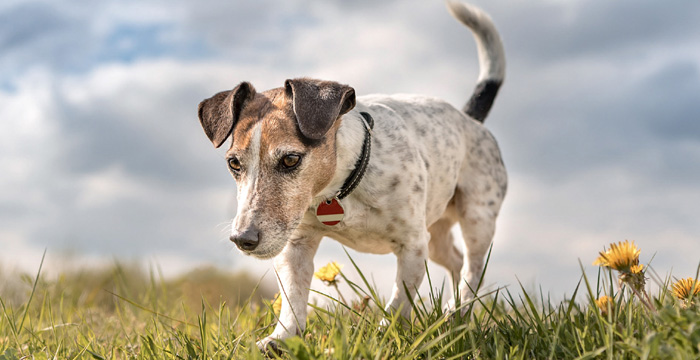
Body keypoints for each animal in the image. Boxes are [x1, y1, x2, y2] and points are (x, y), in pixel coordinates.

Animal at [197, 0, 508, 348]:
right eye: (234, 163)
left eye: (290, 159)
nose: (243, 239)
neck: (340, 189)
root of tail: (470, 119)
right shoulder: (296, 244)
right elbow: (293, 299)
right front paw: (282, 338)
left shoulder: (413, 245)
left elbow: (399, 302)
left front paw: (385, 335)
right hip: (437, 233)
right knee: (455, 261)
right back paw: (454, 317)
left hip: (477, 219)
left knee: (472, 270)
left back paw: (458, 310)